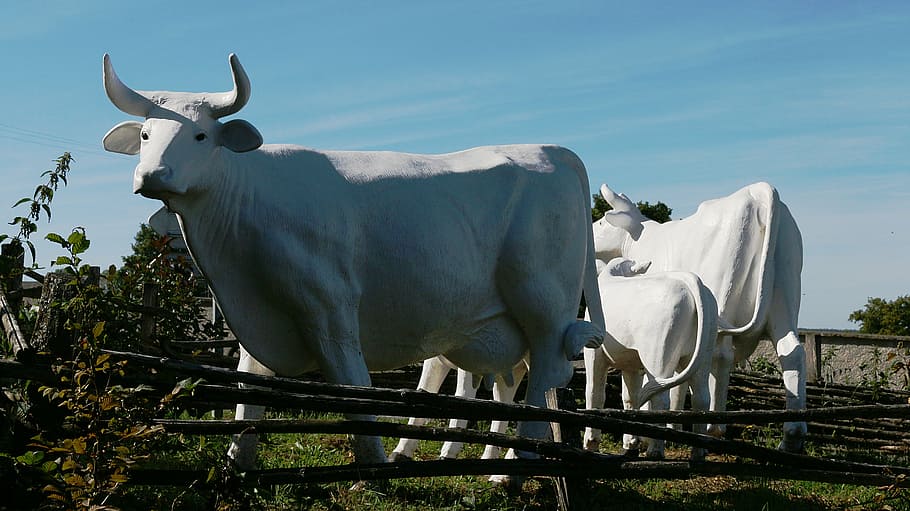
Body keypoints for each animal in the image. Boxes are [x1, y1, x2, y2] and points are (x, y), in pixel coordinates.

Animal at [101, 53, 606, 479]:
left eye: (200, 135)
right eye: (145, 135)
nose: (151, 177)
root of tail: (552, 150)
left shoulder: (329, 308)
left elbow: (353, 385)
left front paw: (374, 469)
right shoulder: (262, 307)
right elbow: (250, 391)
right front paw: (236, 463)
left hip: (543, 302)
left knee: (544, 376)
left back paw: (512, 471)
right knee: (513, 379)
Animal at [583, 257, 716, 460]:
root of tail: (692, 282)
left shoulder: (593, 352)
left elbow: (594, 393)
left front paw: (591, 443)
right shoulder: (632, 364)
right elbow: (630, 398)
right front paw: (630, 444)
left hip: (658, 355)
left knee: (661, 399)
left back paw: (655, 451)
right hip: (703, 354)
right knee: (701, 398)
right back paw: (698, 452)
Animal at [592, 182, 805, 452]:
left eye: (601, 222)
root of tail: (758, 191)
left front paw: (650, 433)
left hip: (723, 291)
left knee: (721, 355)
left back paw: (713, 428)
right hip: (785, 291)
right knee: (793, 352)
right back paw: (791, 437)